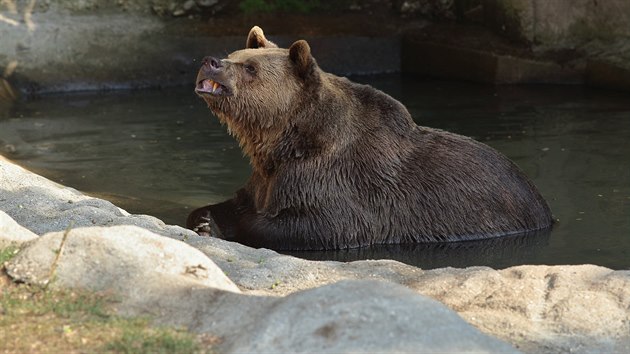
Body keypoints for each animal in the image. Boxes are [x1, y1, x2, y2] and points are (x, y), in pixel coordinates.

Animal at [188, 26, 552, 250]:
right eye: (234, 54)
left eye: (250, 68)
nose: (211, 61)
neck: (284, 139)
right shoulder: (266, 177)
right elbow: (239, 199)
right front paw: (204, 217)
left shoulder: (337, 181)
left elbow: (316, 226)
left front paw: (221, 226)